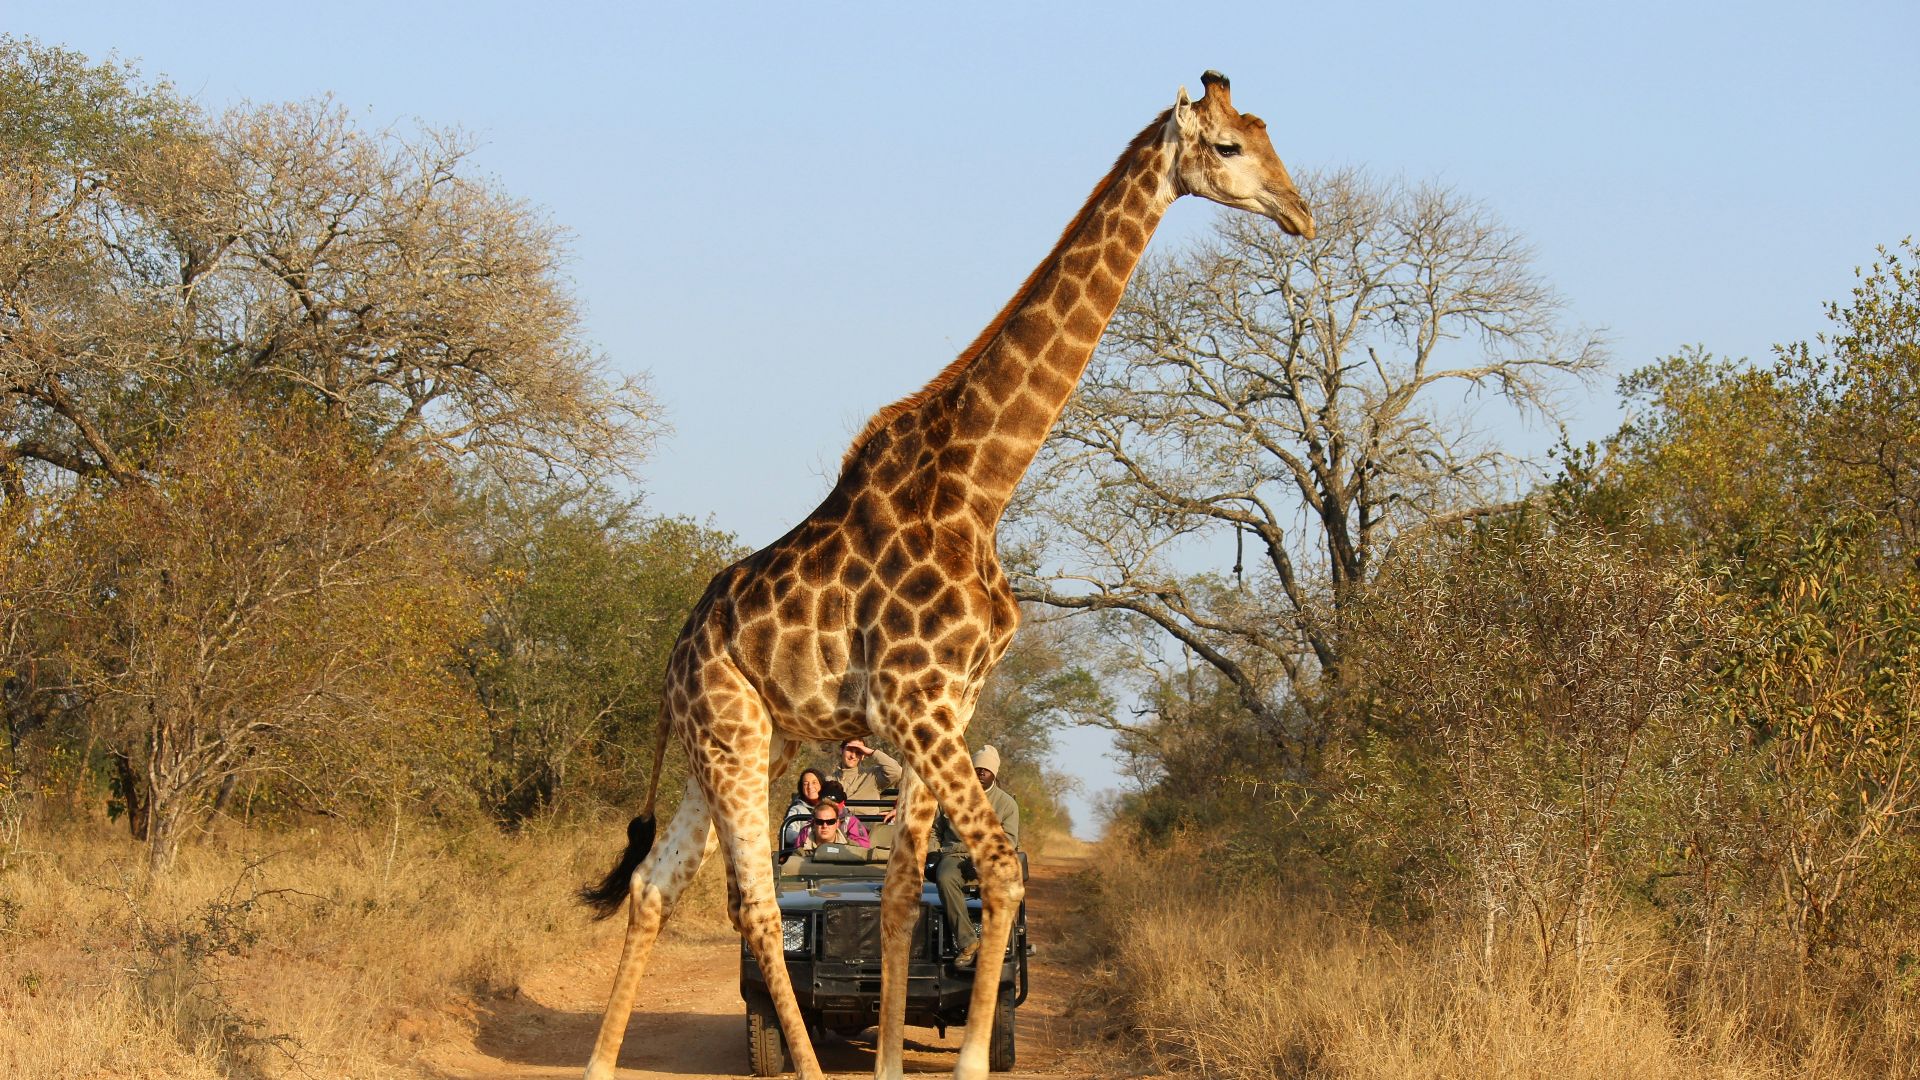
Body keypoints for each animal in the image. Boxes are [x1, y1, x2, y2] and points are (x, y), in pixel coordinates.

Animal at [579, 71, 1312, 1080]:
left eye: (1269, 134)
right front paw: (961, 1060)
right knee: (755, 905)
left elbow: (897, 892)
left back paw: (599, 1063)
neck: (977, 489)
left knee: (655, 887)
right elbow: (998, 867)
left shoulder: (945, 706)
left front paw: (894, 1057)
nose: (1302, 213)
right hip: (735, 735)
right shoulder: (918, 702)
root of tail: (673, 662)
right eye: (1231, 148)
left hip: (725, 742)